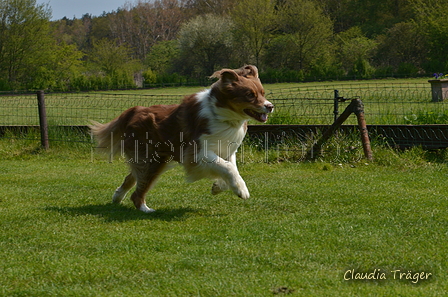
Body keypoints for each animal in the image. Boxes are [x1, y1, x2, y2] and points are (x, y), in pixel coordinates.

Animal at [90, 65, 272, 212]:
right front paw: (242, 190)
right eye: (250, 95)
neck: (223, 115)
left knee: (131, 177)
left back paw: (117, 197)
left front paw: (218, 187)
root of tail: (135, 110)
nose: (270, 106)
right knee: (138, 189)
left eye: (262, 93)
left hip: (155, 159)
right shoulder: (197, 153)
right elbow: (227, 167)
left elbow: (231, 167)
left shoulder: (226, 149)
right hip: (151, 159)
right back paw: (146, 209)